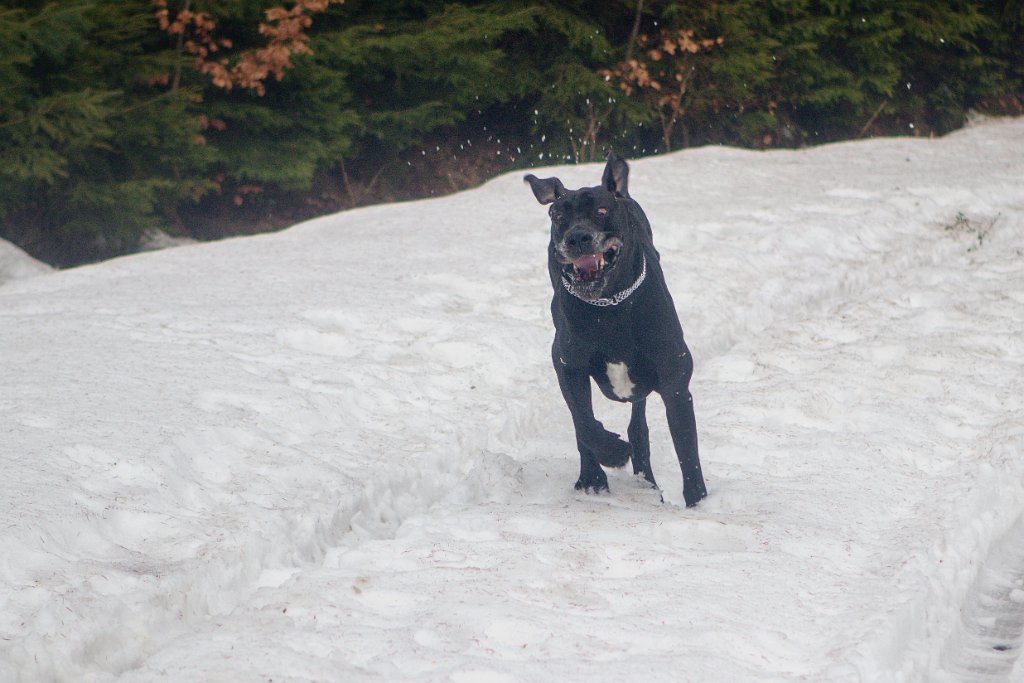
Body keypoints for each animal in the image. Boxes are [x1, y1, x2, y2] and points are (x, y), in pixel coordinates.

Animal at [528, 154, 704, 507]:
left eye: (600, 210)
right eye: (557, 215)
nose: (577, 237)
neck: (609, 307)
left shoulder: (675, 380)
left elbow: (687, 449)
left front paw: (699, 502)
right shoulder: (567, 365)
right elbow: (584, 421)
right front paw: (607, 460)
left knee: (639, 425)